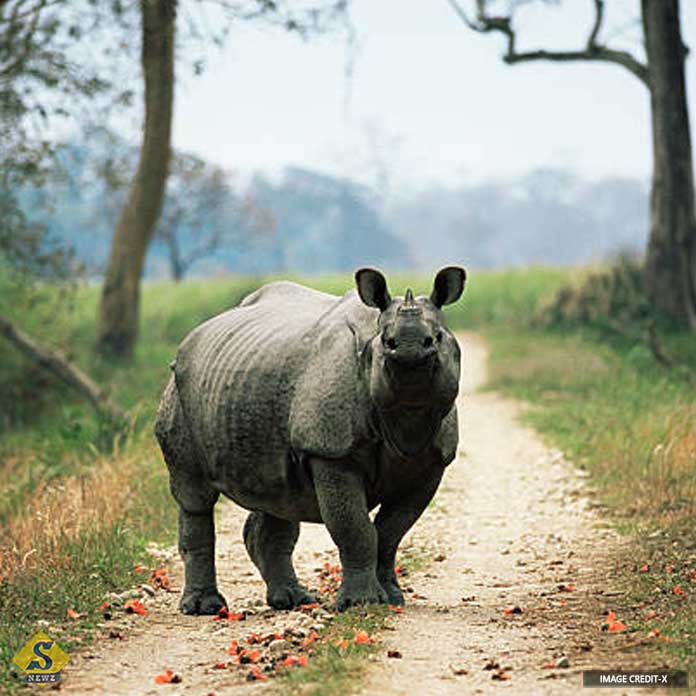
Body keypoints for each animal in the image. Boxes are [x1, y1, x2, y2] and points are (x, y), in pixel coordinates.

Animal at [154, 266, 466, 614]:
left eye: (436, 338)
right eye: (388, 341)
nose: (410, 349)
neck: (407, 417)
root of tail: (195, 334)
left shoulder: (432, 462)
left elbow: (390, 533)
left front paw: (391, 598)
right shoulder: (330, 450)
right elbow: (356, 529)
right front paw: (362, 603)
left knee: (277, 493)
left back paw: (291, 600)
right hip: (179, 387)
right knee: (195, 496)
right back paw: (204, 607)